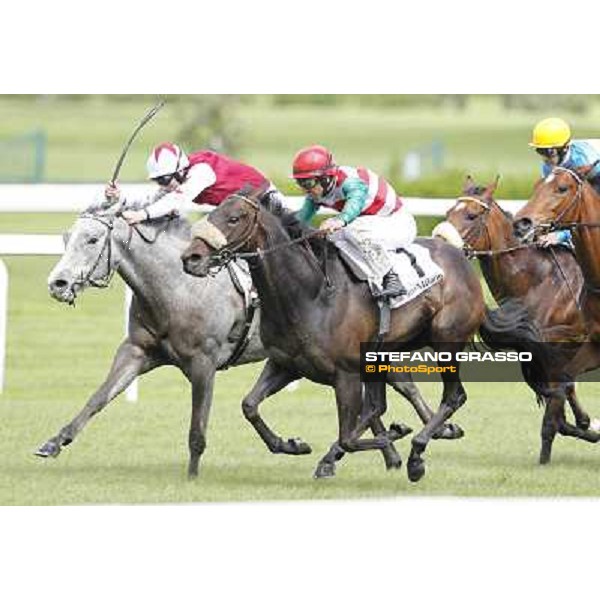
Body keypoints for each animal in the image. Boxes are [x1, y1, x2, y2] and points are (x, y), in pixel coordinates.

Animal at [38, 200, 460, 478]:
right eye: (67, 237)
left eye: (93, 239)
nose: (57, 283)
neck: (176, 287)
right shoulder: (139, 350)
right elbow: (98, 399)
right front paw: (55, 442)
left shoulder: (203, 362)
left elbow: (198, 427)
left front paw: (192, 475)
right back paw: (393, 452)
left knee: (405, 387)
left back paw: (436, 432)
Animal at [180, 185, 548, 480]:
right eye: (213, 212)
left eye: (235, 218)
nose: (191, 257)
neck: (309, 293)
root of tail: (462, 259)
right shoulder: (286, 364)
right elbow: (250, 406)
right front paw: (291, 444)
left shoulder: (345, 373)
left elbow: (348, 434)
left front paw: (395, 442)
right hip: (383, 353)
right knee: (381, 405)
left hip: (447, 340)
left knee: (453, 396)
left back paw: (418, 451)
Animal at [434, 175, 600, 464]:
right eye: (447, 212)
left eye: (471, 215)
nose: (438, 244)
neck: (537, 280)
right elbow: (560, 387)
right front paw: (581, 424)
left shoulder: (564, 340)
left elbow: (561, 386)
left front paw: (581, 424)